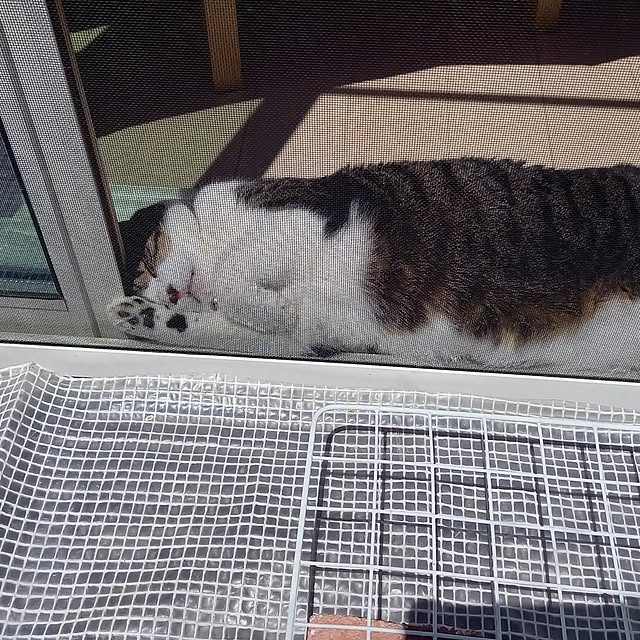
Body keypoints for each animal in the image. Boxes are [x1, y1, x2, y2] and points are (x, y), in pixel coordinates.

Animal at [109, 157, 640, 374]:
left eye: (145, 264)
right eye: (139, 282)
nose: (167, 294)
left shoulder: (310, 215)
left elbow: (229, 271)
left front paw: (259, 303)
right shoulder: (305, 339)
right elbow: (215, 329)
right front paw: (139, 315)